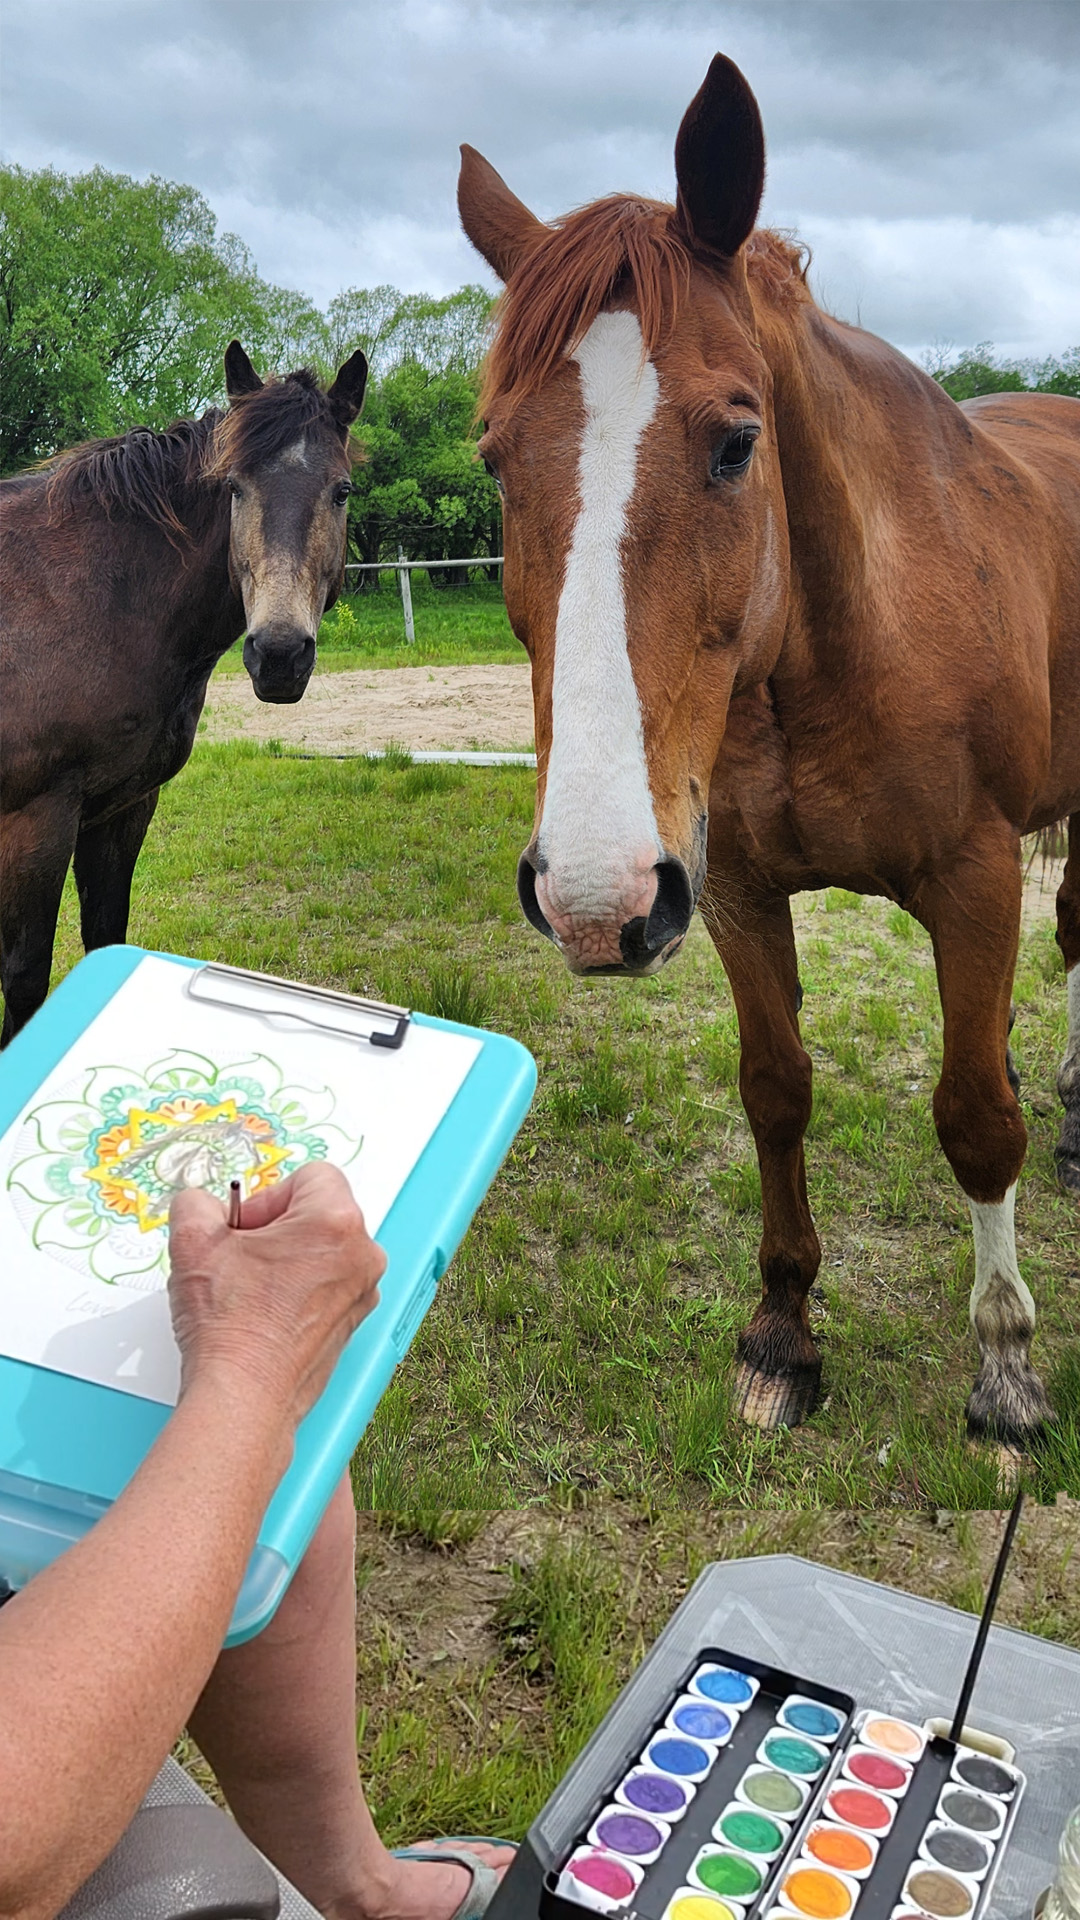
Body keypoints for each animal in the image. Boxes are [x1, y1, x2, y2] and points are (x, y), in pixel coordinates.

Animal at [0, 336, 365, 1044]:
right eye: (234, 488)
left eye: (341, 491)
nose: (280, 656)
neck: (97, 596)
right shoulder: (34, 820)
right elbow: (25, 979)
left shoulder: (121, 806)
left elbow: (105, 937)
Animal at [455, 52, 1076, 1443]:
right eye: (496, 461)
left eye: (739, 442)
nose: (590, 897)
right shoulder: (730, 887)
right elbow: (776, 1087)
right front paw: (785, 1332)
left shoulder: (975, 878)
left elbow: (973, 1120)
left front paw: (1006, 1367)